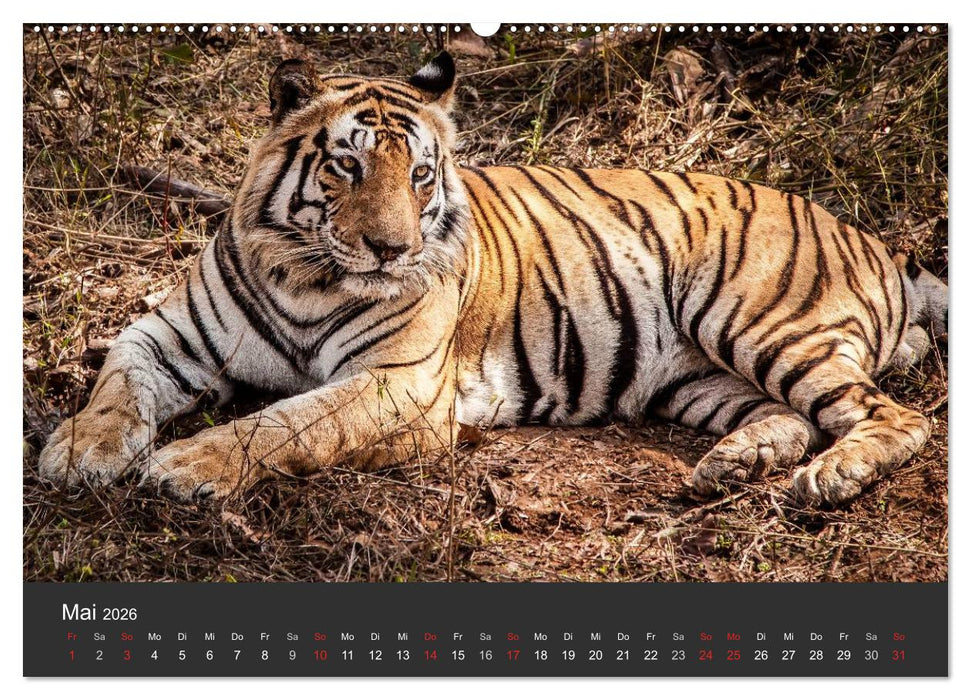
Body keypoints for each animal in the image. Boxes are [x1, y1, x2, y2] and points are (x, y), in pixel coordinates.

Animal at [37, 51, 947, 508]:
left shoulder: (395, 380)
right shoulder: (165, 333)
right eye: (345, 166)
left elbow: (285, 422)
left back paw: (829, 478)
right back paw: (736, 462)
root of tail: (873, 240)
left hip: (759, 320)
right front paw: (79, 450)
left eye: (419, 175)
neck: (308, 275)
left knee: (892, 417)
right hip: (692, 378)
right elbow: (116, 382)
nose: (390, 249)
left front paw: (188, 465)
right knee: (786, 416)